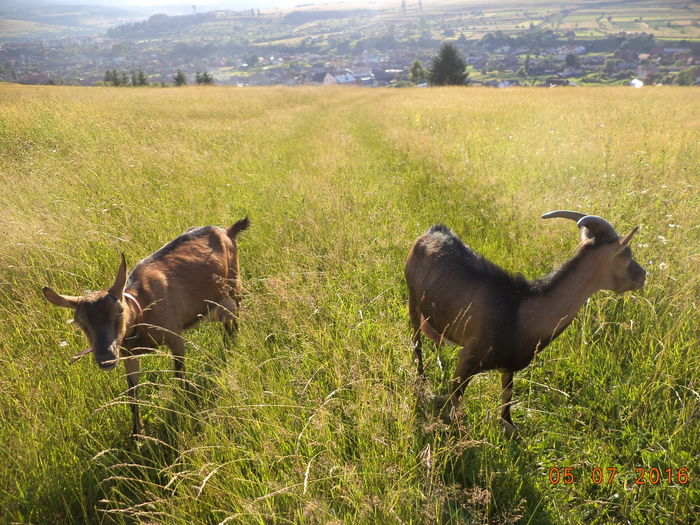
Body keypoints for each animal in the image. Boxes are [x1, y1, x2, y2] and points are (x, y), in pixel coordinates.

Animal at [44, 217, 252, 434]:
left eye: (119, 311)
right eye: (80, 322)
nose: (106, 358)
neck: (142, 308)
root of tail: (227, 231)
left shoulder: (174, 335)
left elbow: (179, 375)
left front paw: (181, 409)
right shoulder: (128, 354)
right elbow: (132, 392)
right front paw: (137, 433)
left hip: (234, 289)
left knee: (234, 321)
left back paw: (231, 349)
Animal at [404, 211, 644, 436]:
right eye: (627, 254)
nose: (644, 275)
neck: (521, 311)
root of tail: (433, 231)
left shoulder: (509, 367)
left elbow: (507, 398)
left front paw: (508, 426)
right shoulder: (469, 357)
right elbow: (455, 397)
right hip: (413, 302)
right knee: (417, 344)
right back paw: (421, 379)